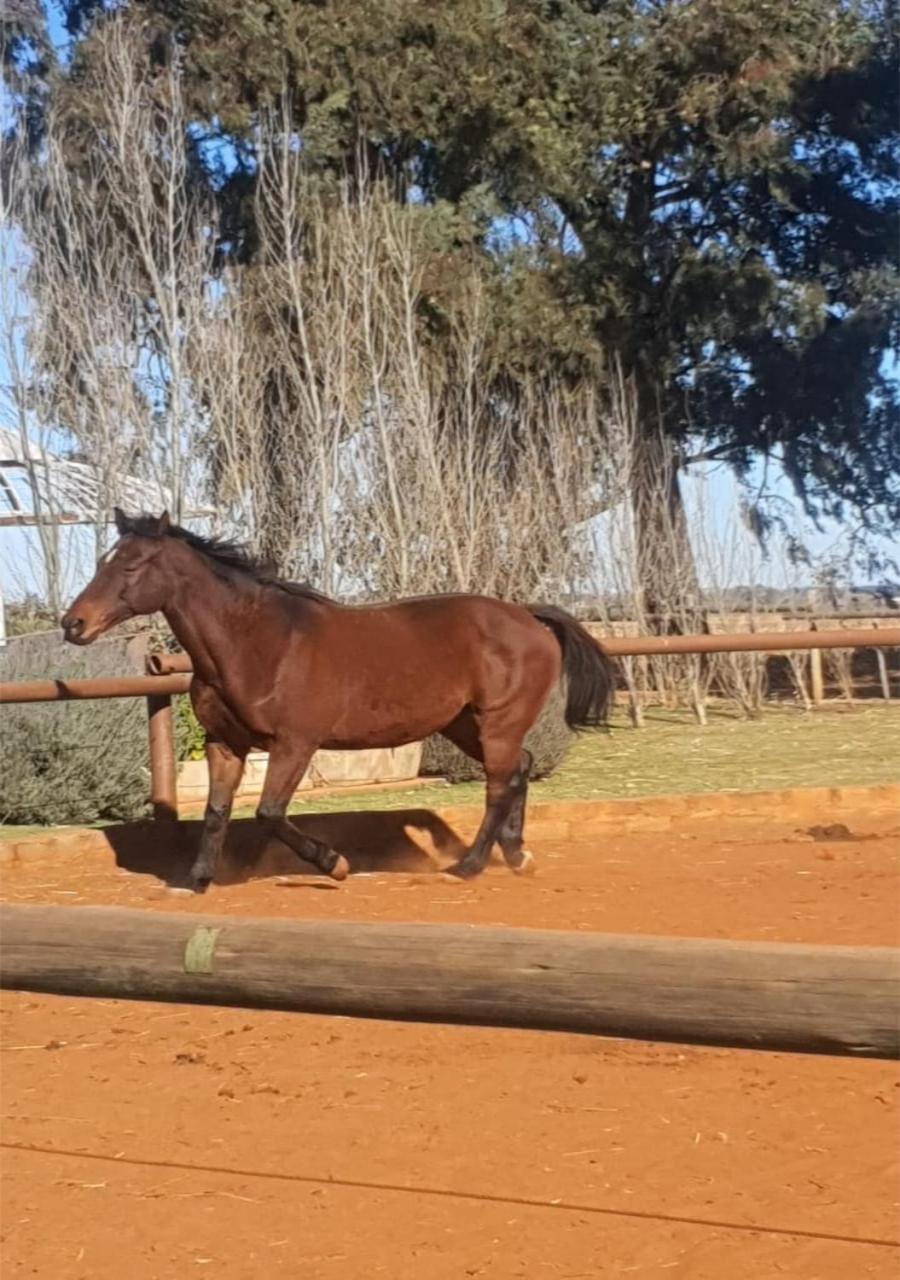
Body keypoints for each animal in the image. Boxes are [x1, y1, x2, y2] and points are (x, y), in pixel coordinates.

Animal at [61, 509, 611, 890]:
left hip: (497, 722)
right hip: (463, 725)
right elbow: (217, 812)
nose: (73, 624)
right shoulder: (224, 743)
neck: (258, 642)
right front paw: (196, 880)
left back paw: (469, 867)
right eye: (103, 561)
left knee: (499, 786)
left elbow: (268, 813)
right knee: (521, 769)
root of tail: (530, 618)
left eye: (133, 564)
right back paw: (518, 858)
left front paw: (337, 864)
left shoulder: (294, 744)